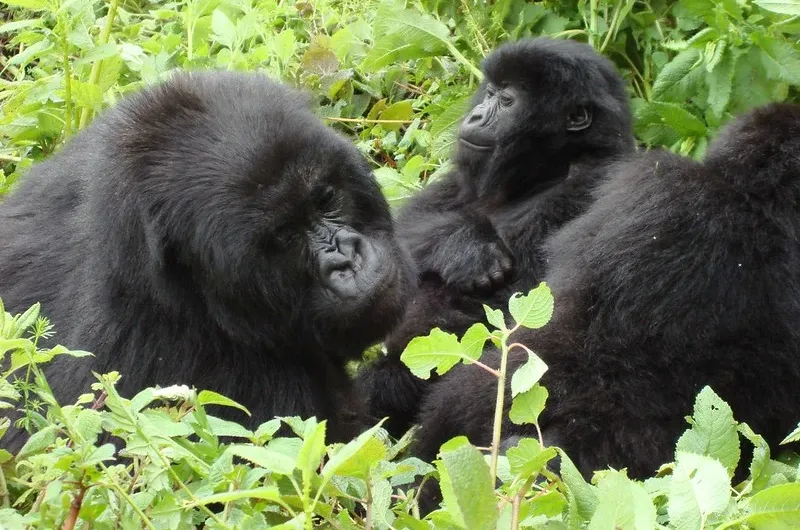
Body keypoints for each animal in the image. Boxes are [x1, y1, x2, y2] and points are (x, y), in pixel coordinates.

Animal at [360, 36, 636, 434]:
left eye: (507, 101)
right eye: (489, 92)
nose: (474, 116)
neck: (551, 168)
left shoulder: (595, 182)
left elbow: (529, 309)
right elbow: (402, 233)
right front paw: (465, 249)